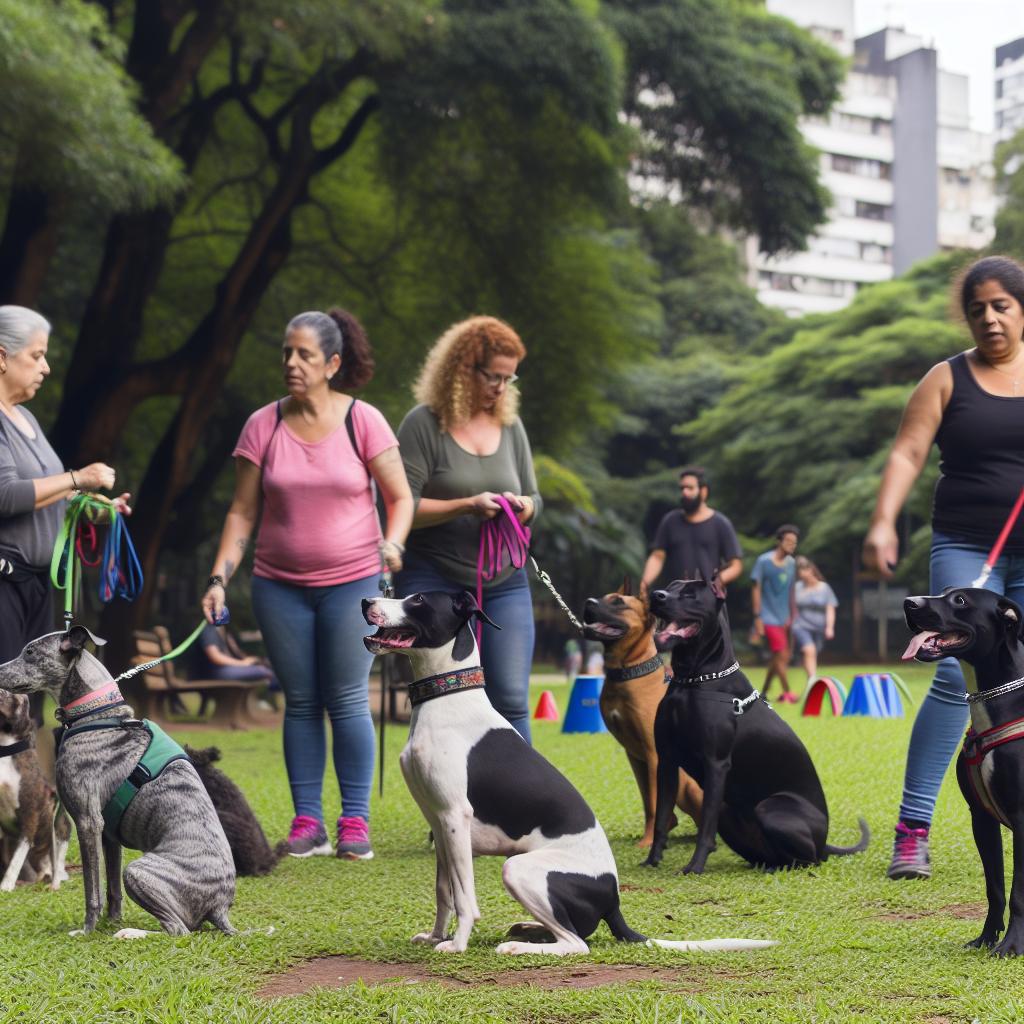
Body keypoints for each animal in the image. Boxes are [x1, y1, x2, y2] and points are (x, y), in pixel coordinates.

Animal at [585, 581, 704, 843]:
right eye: (602, 597)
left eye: (618, 602)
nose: (588, 602)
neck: (629, 672)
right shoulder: (635, 756)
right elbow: (649, 803)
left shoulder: (654, 754)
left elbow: (655, 799)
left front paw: (649, 841)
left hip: (688, 783)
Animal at [647, 577, 864, 872]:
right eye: (670, 586)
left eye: (690, 595)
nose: (655, 596)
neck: (693, 680)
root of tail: (824, 842)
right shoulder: (667, 761)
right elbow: (661, 818)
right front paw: (651, 860)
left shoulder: (716, 763)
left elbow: (705, 828)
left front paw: (694, 867)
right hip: (728, 811)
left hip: (771, 809)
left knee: (810, 860)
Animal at [909, 589, 1024, 954]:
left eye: (960, 600)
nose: (908, 602)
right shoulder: (981, 818)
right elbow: (995, 888)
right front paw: (987, 938)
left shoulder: (1022, 818)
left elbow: (1018, 892)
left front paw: (1012, 946)